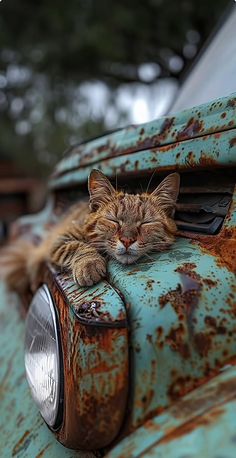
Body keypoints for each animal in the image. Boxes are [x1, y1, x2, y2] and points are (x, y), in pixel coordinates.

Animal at [0, 170, 180, 296]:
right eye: (113, 220)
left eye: (146, 223)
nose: (127, 240)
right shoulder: (60, 238)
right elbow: (77, 246)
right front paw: (89, 263)